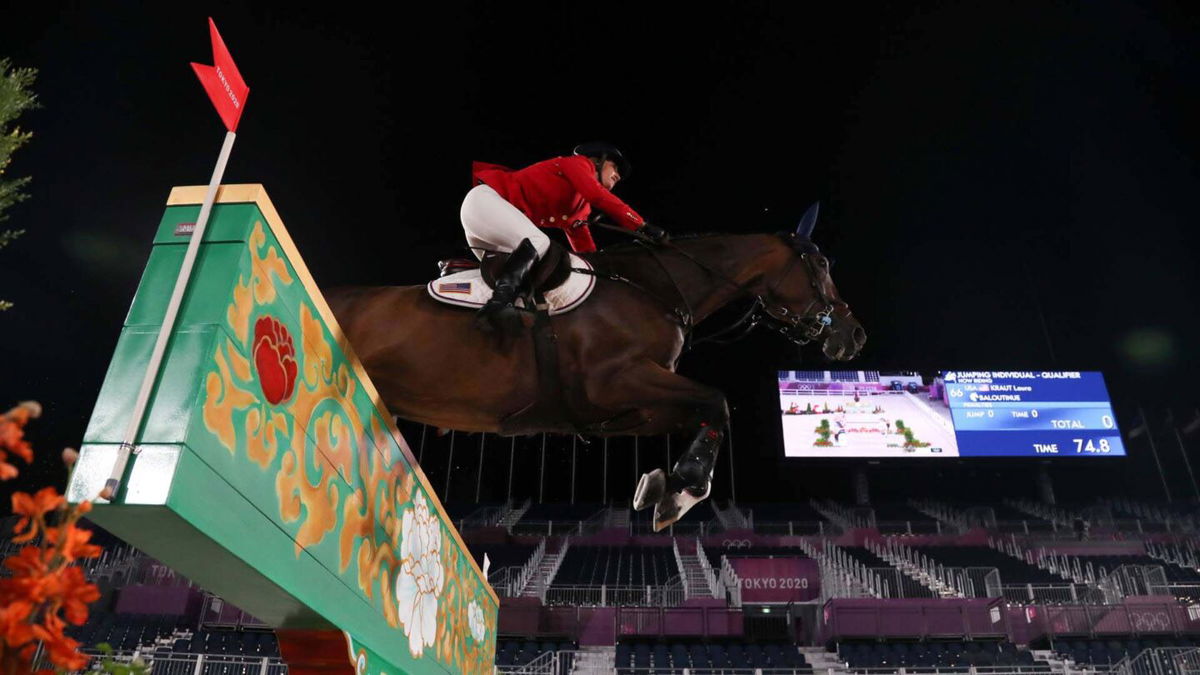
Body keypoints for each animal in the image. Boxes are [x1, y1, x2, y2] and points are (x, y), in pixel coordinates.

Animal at [328, 213, 868, 526]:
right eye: (821, 265)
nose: (854, 336)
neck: (656, 288)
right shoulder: (615, 380)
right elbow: (718, 401)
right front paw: (683, 491)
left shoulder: (625, 406)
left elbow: (703, 412)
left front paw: (663, 484)